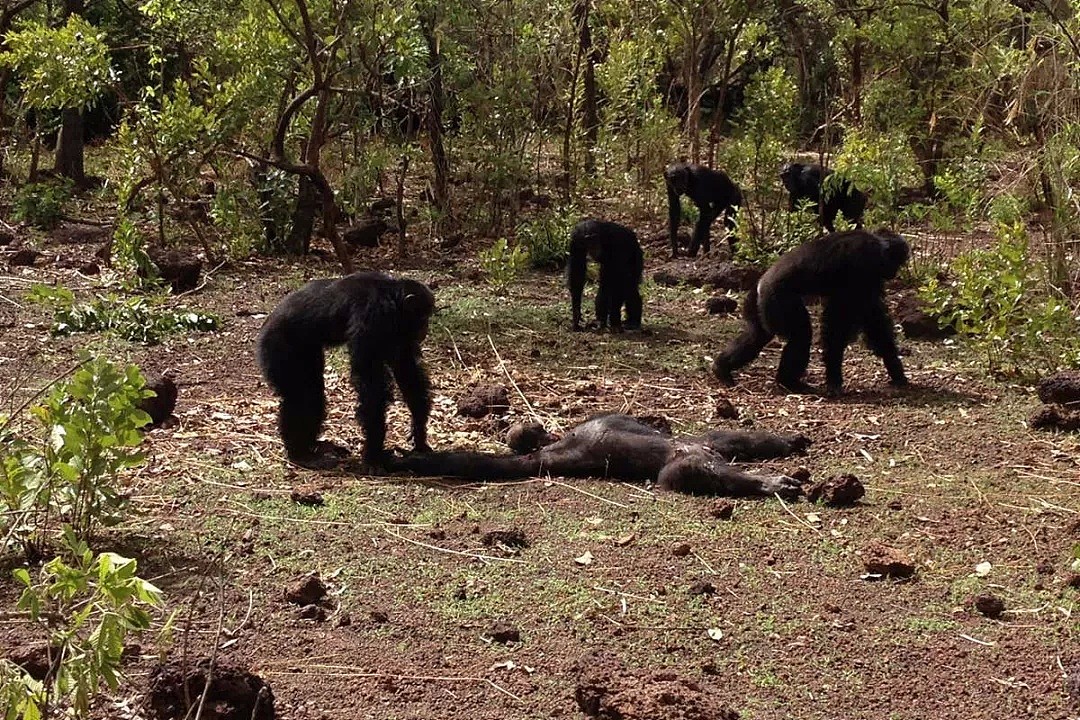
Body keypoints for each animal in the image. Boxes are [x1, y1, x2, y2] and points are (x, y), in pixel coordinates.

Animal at [257, 269, 434, 468]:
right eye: (423, 316)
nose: (426, 328)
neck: (393, 298)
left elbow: (406, 370)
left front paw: (419, 433)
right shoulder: (373, 317)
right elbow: (370, 383)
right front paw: (374, 453)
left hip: (308, 353)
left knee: (313, 392)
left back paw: (315, 446)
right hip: (279, 347)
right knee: (301, 396)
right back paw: (300, 453)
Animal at [717, 229, 911, 395]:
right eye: (896, 262)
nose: (894, 273)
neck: (878, 244)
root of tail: (759, 285)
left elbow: (873, 319)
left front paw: (895, 367)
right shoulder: (863, 267)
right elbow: (839, 323)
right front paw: (834, 377)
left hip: (759, 309)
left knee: (756, 336)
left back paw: (722, 368)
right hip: (779, 302)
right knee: (800, 336)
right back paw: (788, 382)